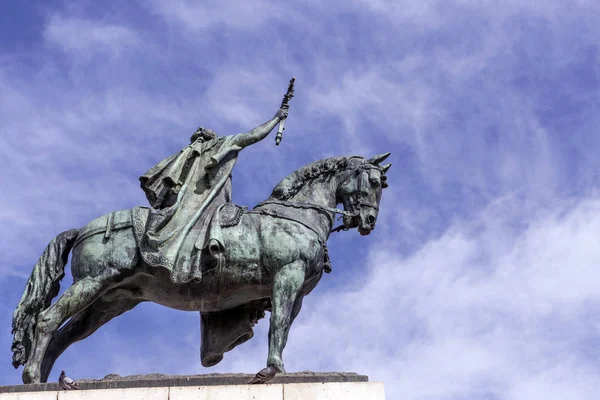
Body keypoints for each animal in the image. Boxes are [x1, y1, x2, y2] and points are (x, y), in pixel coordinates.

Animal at [12, 152, 394, 382]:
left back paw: (41, 381)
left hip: (111, 300)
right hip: (94, 282)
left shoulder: (297, 293)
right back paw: (32, 378)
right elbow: (279, 326)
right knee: (47, 320)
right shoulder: (288, 277)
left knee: (62, 336)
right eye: (375, 183)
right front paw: (273, 370)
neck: (293, 216)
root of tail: (81, 229)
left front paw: (276, 368)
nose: (368, 222)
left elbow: (283, 329)